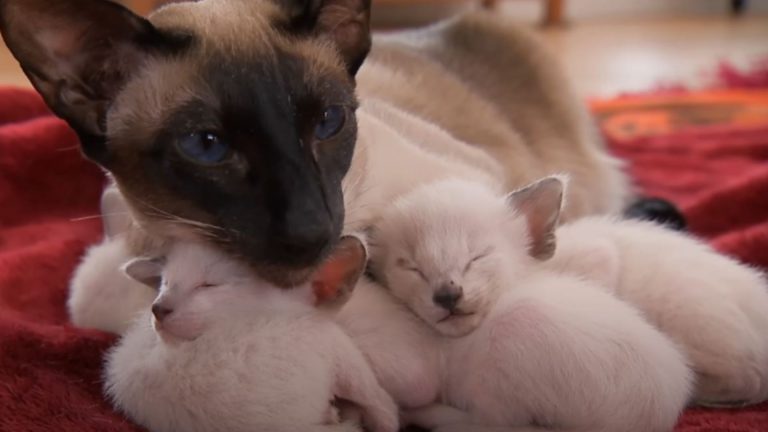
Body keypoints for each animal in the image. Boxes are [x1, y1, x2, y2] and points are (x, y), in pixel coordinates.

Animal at [105, 238, 400, 432]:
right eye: (165, 283)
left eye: (208, 285)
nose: (158, 308)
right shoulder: (330, 344)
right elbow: (377, 399)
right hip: (332, 344)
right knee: (377, 399)